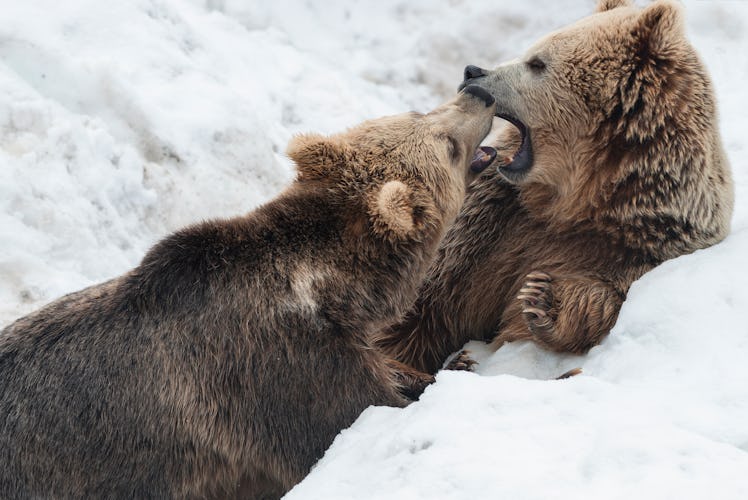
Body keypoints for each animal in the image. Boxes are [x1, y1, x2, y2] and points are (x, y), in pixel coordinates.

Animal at [0, 84, 500, 498]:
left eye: (421, 111)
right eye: (448, 145)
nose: (478, 91)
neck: (333, 289)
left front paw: (453, 363)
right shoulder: (275, 368)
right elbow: (345, 418)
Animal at [376, 0, 732, 374]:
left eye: (537, 63)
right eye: (531, 53)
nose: (472, 71)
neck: (571, 201)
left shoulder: (645, 243)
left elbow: (605, 299)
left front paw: (542, 297)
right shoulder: (489, 221)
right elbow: (422, 303)